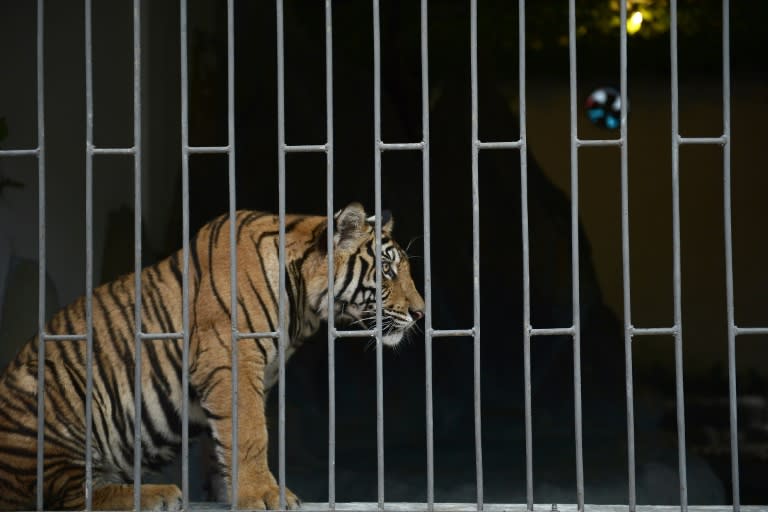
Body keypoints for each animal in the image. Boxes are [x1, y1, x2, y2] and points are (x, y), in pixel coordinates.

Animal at [0, 204, 426, 512]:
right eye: (387, 271)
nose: (421, 313)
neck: (303, 305)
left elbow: (223, 443)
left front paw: (231, 494)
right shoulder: (230, 359)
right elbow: (250, 433)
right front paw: (264, 495)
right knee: (68, 495)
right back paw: (156, 495)